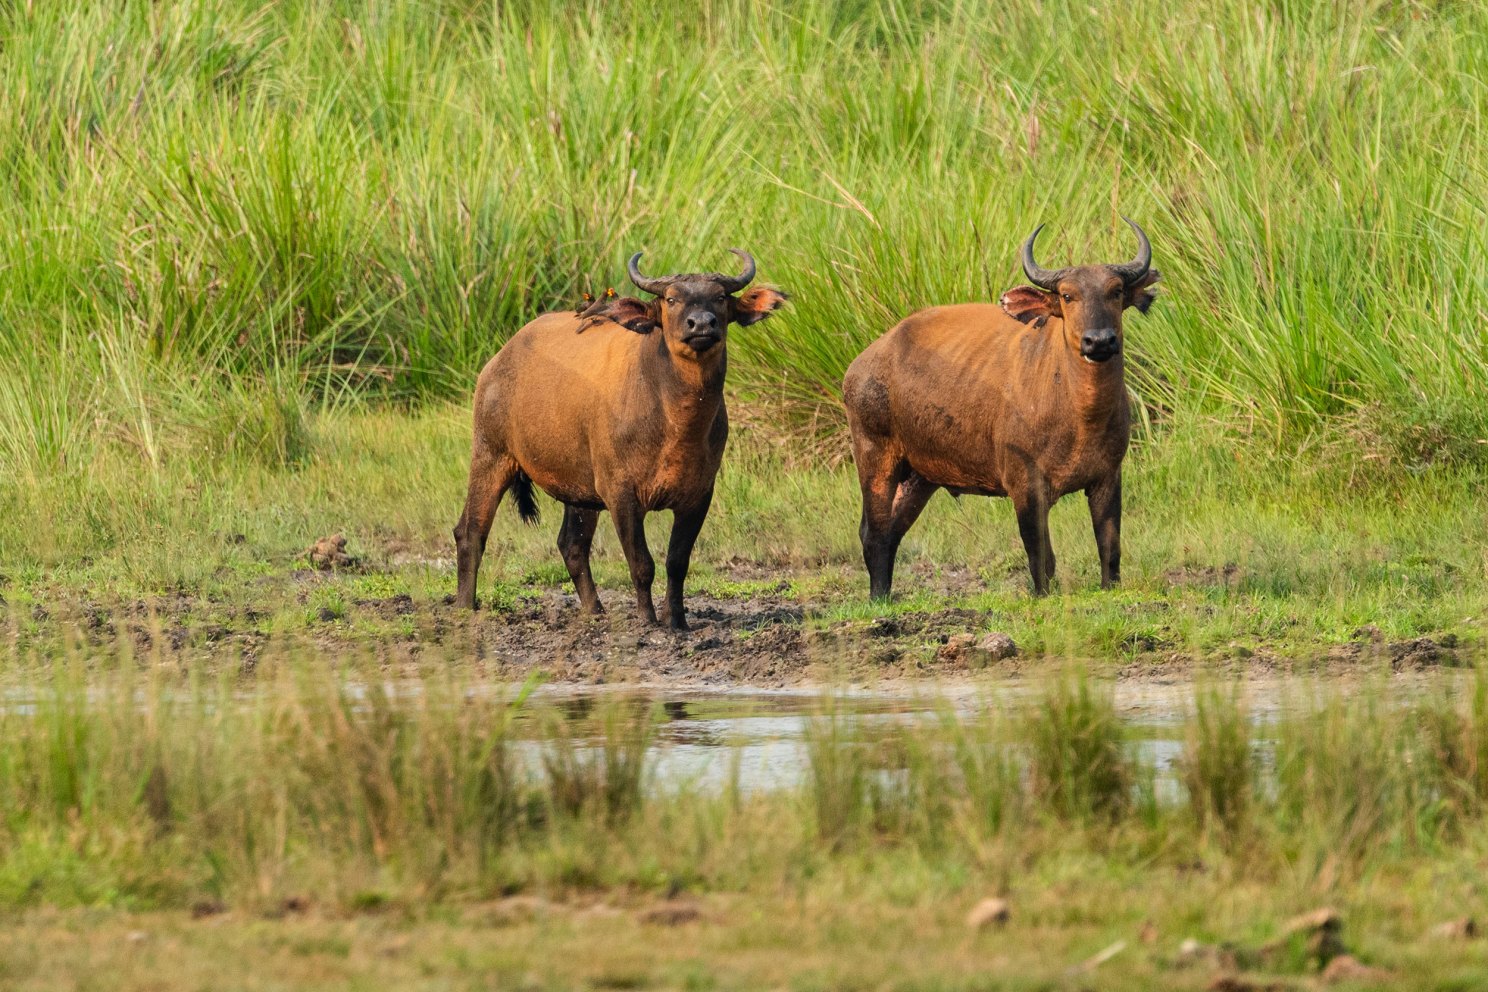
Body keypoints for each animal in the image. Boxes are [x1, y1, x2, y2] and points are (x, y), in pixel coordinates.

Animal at [454, 250, 788, 628]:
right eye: (670, 299)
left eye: (719, 297)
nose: (702, 325)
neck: (676, 422)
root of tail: (497, 362)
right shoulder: (621, 494)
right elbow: (642, 564)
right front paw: (647, 619)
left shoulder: (699, 495)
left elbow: (677, 563)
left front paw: (677, 621)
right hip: (490, 454)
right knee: (470, 531)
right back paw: (465, 607)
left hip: (580, 491)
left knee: (571, 545)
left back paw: (594, 610)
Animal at [842, 219, 1160, 598]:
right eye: (1067, 295)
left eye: (1116, 291)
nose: (1099, 341)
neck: (1081, 415)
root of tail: (861, 365)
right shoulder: (1024, 484)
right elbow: (1039, 552)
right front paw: (1041, 594)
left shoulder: (1108, 476)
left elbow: (1109, 546)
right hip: (874, 458)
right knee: (873, 531)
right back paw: (879, 598)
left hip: (919, 477)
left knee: (891, 531)